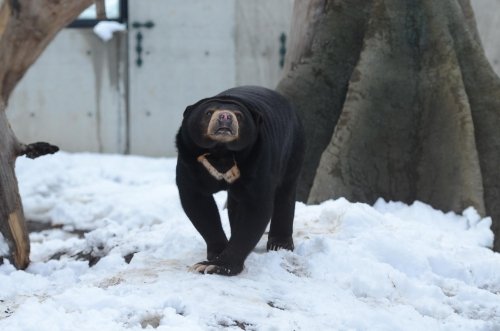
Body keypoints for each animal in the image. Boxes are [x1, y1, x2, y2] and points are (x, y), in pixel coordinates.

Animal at [178, 86, 306, 278]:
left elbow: (255, 208)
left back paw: (280, 245)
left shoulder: (258, 157)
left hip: (292, 149)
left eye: (239, 115)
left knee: (285, 193)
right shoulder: (189, 158)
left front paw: (215, 266)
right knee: (235, 203)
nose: (225, 117)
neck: (221, 152)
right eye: (208, 112)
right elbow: (197, 203)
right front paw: (215, 254)